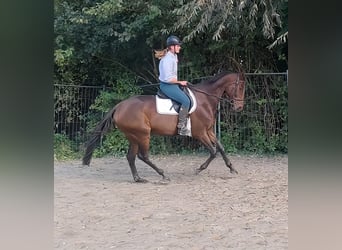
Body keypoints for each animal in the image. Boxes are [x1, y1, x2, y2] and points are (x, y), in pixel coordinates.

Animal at [83, 71, 246, 183]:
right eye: (240, 87)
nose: (239, 108)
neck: (204, 99)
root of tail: (119, 106)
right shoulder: (199, 133)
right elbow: (213, 151)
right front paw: (199, 169)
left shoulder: (209, 130)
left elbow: (220, 147)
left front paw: (232, 168)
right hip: (143, 134)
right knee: (143, 156)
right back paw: (162, 174)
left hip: (133, 136)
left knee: (131, 157)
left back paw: (138, 178)